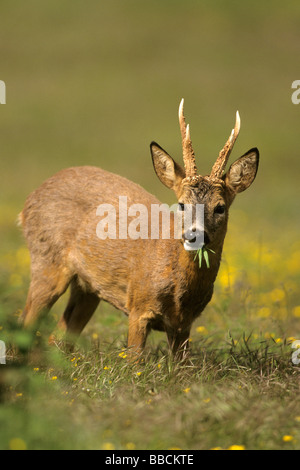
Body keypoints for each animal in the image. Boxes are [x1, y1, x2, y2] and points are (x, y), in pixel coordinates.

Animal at [18, 98, 258, 356]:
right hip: (45, 258)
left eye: (220, 207)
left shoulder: (184, 325)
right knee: (27, 321)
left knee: (60, 335)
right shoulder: (138, 307)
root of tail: (31, 198)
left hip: (87, 286)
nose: (195, 235)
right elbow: (134, 359)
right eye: (181, 204)